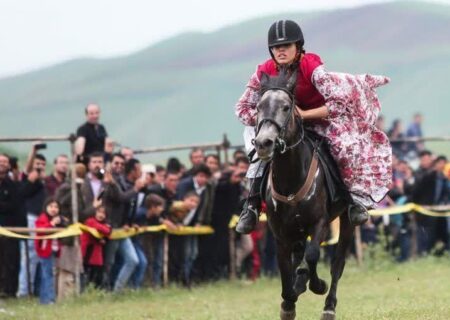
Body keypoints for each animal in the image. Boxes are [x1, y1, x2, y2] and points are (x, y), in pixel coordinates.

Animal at [253, 69, 356, 318]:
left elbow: (312, 256)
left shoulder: (320, 223)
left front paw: (316, 285)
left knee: (337, 263)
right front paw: (288, 304)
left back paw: (328, 306)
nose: (264, 143)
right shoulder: (280, 234)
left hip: (346, 220)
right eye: (258, 107)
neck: (290, 182)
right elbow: (285, 273)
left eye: (286, 107)